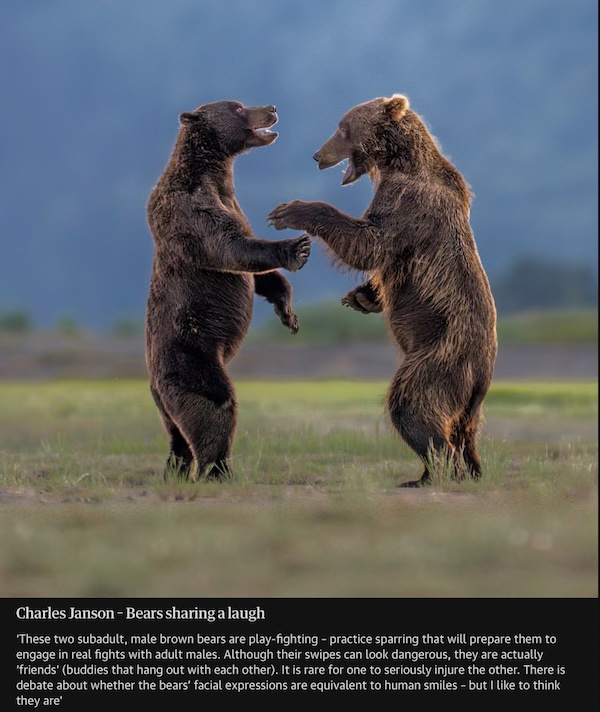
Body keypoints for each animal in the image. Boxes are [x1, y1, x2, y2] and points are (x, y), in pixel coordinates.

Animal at [146, 100, 311, 481]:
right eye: (236, 108)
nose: (272, 107)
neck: (216, 174)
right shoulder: (192, 209)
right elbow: (231, 248)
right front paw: (296, 248)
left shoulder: (232, 202)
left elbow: (257, 274)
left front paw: (288, 313)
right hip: (189, 352)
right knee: (214, 403)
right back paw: (217, 469)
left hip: (164, 397)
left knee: (176, 432)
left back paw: (176, 468)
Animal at [269, 94, 497, 486]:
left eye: (342, 127)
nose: (317, 155)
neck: (397, 162)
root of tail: (482, 376)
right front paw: (360, 297)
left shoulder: (407, 203)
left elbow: (370, 243)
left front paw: (290, 210)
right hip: (467, 396)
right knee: (464, 430)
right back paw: (462, 469)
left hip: (441, 352)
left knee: (412, 403)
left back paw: (436, 472)